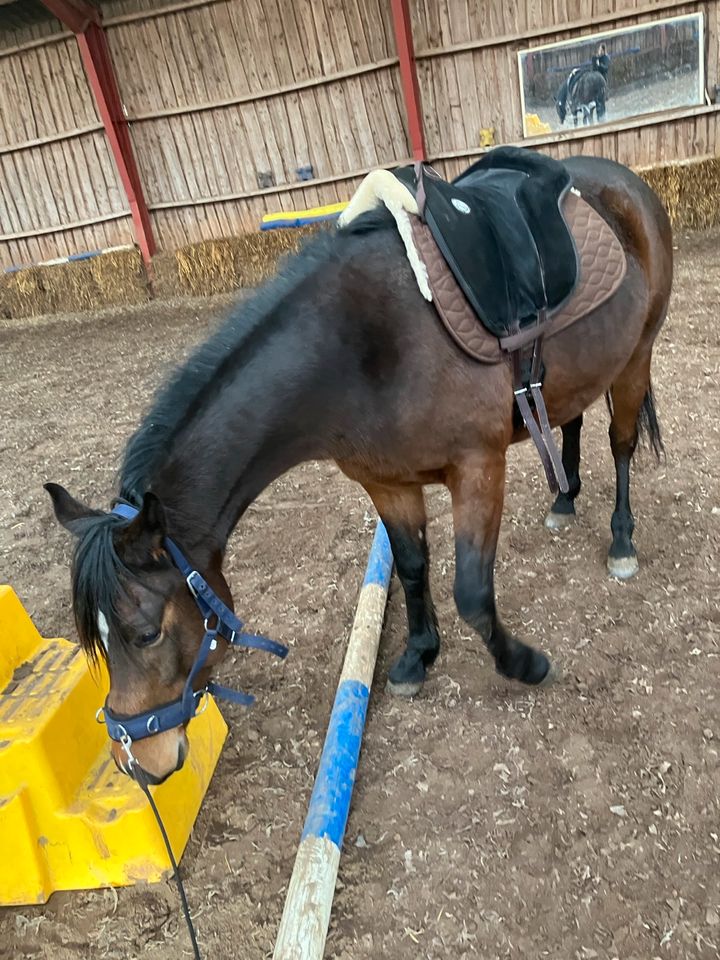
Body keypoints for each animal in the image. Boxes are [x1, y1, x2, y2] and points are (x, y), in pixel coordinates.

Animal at [47, 154, 672, 784]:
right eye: (96, 644)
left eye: (146, 633)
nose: (137, 762)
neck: (359, 348)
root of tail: (618, 177)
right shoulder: (386, 483)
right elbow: (413, 567)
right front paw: (419, 655)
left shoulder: (478, 467)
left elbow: (472, 592)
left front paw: (525, 663)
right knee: (571, 420)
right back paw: (564, 499)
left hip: (636, 355)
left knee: (621, 445)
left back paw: (622, 540)